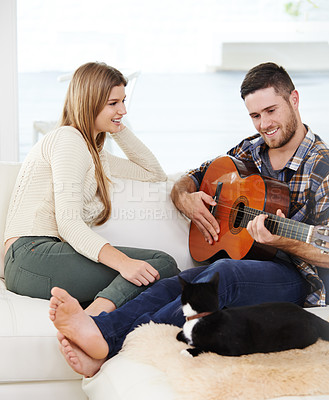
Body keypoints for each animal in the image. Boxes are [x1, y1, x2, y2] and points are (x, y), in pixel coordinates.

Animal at [176, 274, 328, 358]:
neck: (203, 315)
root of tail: (308, 313)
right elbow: (180, 335)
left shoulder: (231, 348)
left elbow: (207, 347)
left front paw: (189, 351)